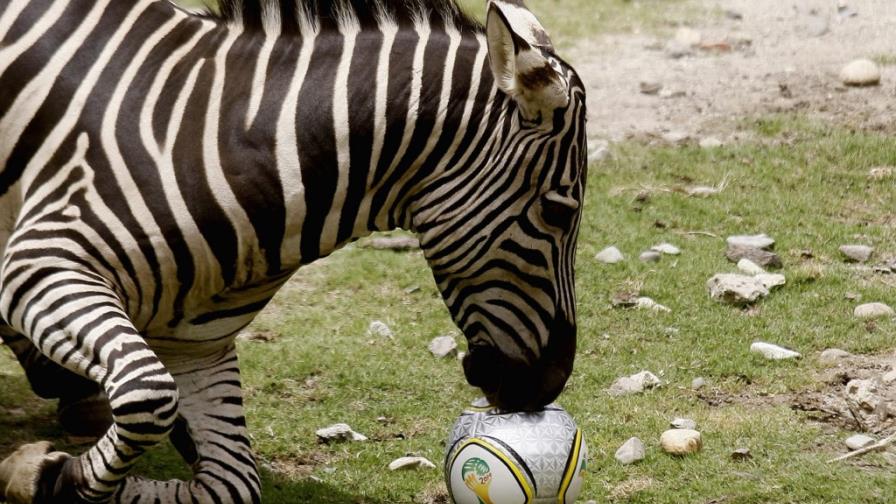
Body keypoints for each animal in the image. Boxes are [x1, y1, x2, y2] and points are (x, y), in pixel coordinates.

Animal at [0, 0, 587, 501]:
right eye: (559, 212)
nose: (550, 385)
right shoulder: (43, 263)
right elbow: (149, 396)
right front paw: (39, 474)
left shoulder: (193, 344)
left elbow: (230, 483)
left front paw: (50, 473)